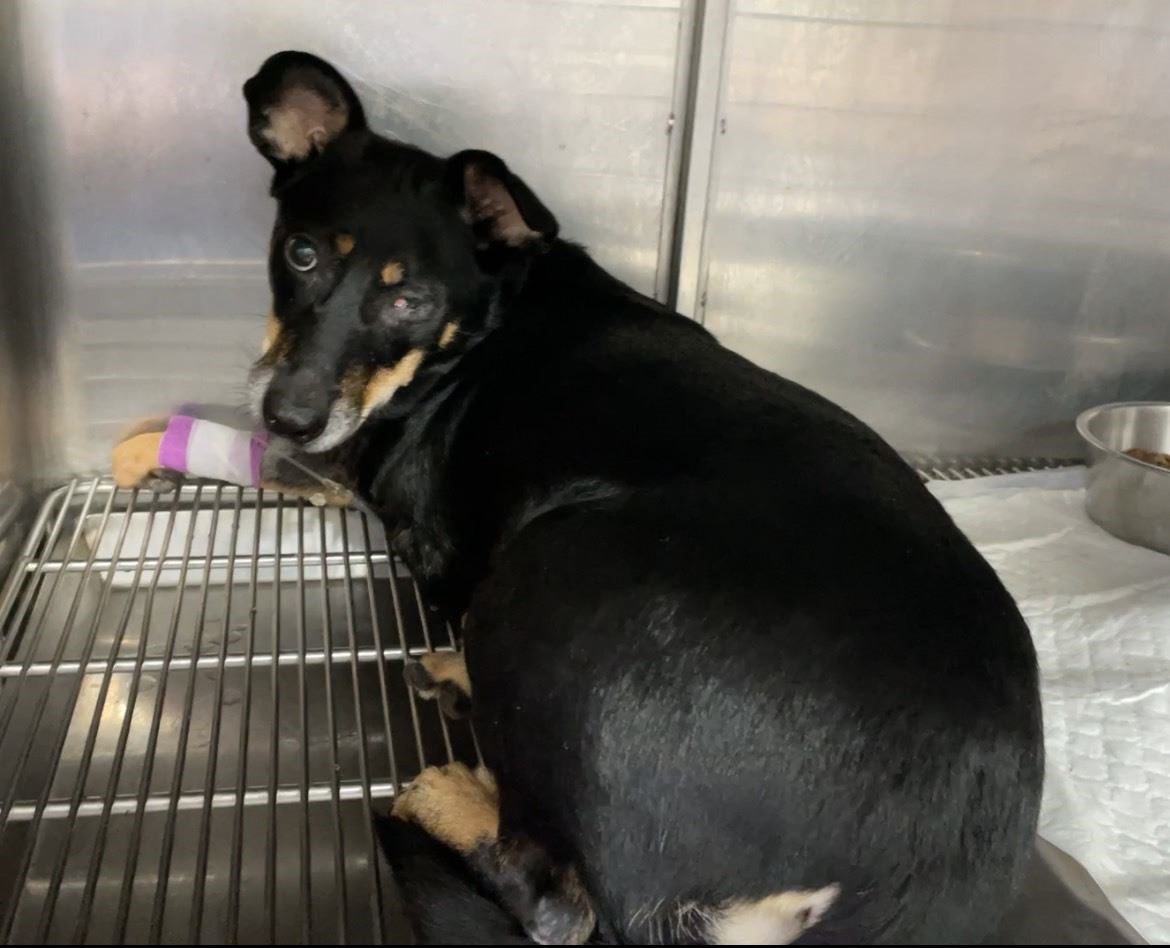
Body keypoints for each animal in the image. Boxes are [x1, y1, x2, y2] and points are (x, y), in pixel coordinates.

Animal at [118, 50, 1044, 943]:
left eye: (409, 297)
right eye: (301, 253)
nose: (288, 411)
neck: (483, 327)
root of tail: (911, 877)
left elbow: (304, 469)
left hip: (549, 572)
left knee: (560, 906)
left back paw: (445, 789)